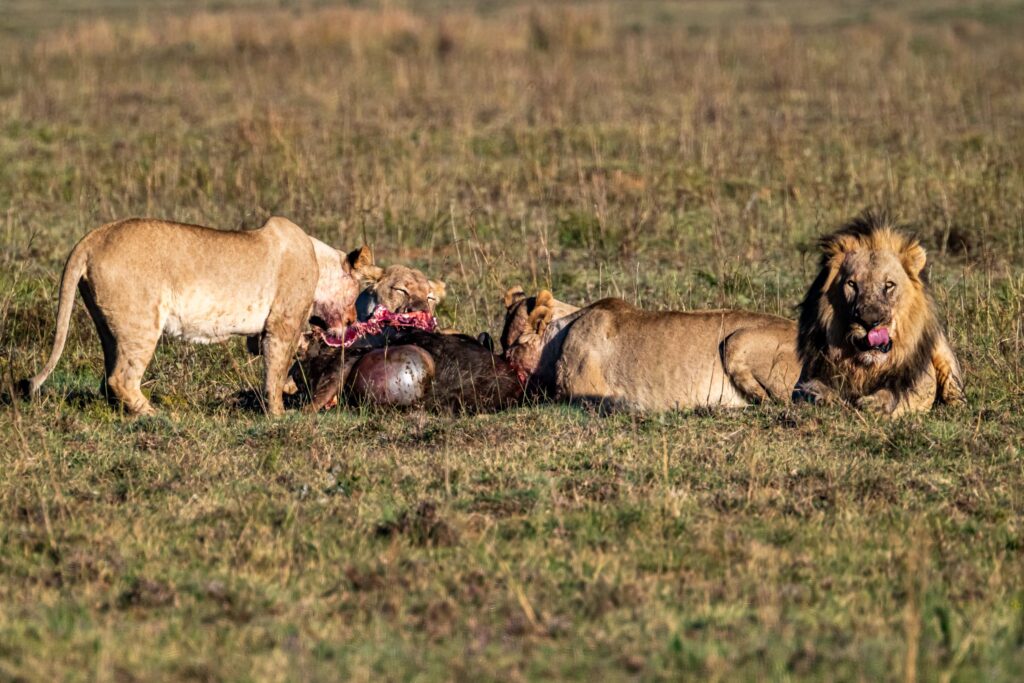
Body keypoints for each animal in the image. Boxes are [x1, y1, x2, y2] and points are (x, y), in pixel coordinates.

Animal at [19, 216, 360, 417]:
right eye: (358, 292)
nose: (354, 319)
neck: (317, 257)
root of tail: (93, 237)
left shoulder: (263, 332)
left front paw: (288, 389)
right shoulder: (282, 323)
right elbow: (275, 368)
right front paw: (278, 414)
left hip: (107, 324)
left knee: (108, 377)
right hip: (142, 324)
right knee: (121, 378)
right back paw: (156, 415)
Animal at [794, 210, 962, 413]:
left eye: (889, 285)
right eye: (852, 284)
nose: (869, 322)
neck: (866, 366)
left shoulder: (906, 383)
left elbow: (890, 393)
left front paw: (873, 403)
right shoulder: (805, 379)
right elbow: (812, 388)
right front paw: (825, 397)